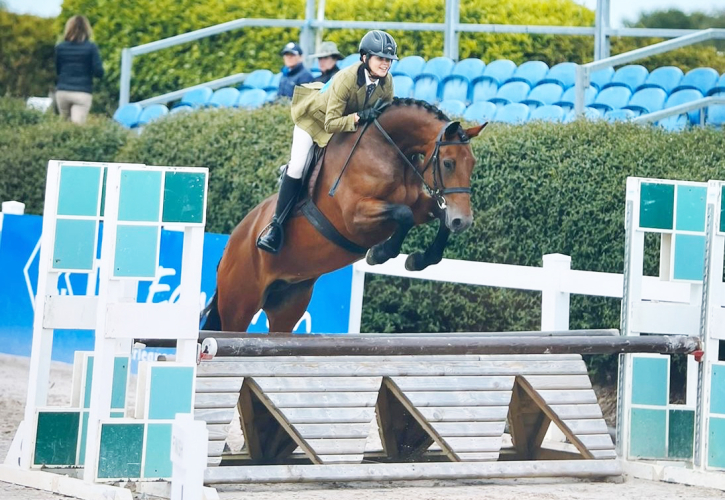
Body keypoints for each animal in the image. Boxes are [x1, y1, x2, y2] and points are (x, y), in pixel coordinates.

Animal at [202, 98, 486, 333]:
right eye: (448, 163)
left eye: (472, 163)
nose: (463, 221)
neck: (386, 149)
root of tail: (231, 244)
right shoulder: (355, 217)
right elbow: (403, 215)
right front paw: (379, 254)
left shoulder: (419, 206)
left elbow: (437, 218)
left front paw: (418, 260)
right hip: (239, 305)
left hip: (288, 302)